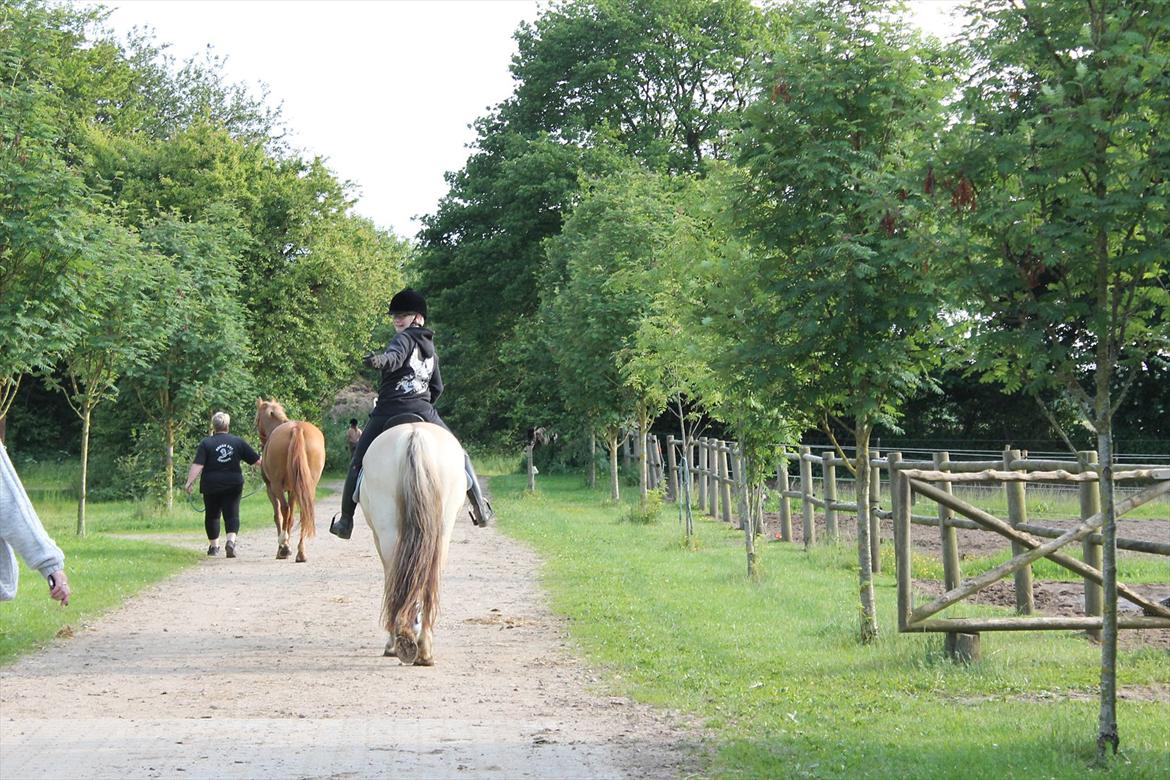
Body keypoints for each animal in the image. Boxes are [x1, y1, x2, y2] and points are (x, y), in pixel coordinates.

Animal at [255, 402, 325, 561]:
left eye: (257, 418)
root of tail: (296, 428)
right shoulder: (293, 489)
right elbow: (291, 517)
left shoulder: (271, 489)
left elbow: (279, 516)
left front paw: (283, 547)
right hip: (308, 487)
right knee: (304, 513)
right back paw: (301, 553)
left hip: (276, 486)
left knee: (284, 509)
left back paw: (284, 545)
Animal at [358, 420, 463, 664]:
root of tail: (415, 435)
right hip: (442, 532)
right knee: (428, 579)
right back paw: (422, 649)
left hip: (388, 532)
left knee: (395, 578)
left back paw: (400, 641)